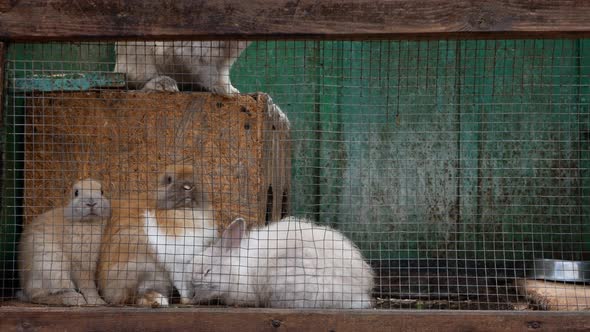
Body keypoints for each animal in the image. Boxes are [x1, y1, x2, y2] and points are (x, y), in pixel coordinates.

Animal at [97, 165, 215, 308]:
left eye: (196, 177)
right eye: (169, 179)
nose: (188, 186)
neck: (184, 211)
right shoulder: (176, 262)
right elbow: (182, 284)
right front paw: (187, 300)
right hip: (141, 270)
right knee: (133, 296)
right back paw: (159, 301)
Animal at [116, 40, 252, 94]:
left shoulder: (223, 61)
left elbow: (223, 74)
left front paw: (232, 90)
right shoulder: (196, 54)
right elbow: (209, 74)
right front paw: (224, 91)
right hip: (142, 60)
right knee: (140, 84)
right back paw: (164, 85)